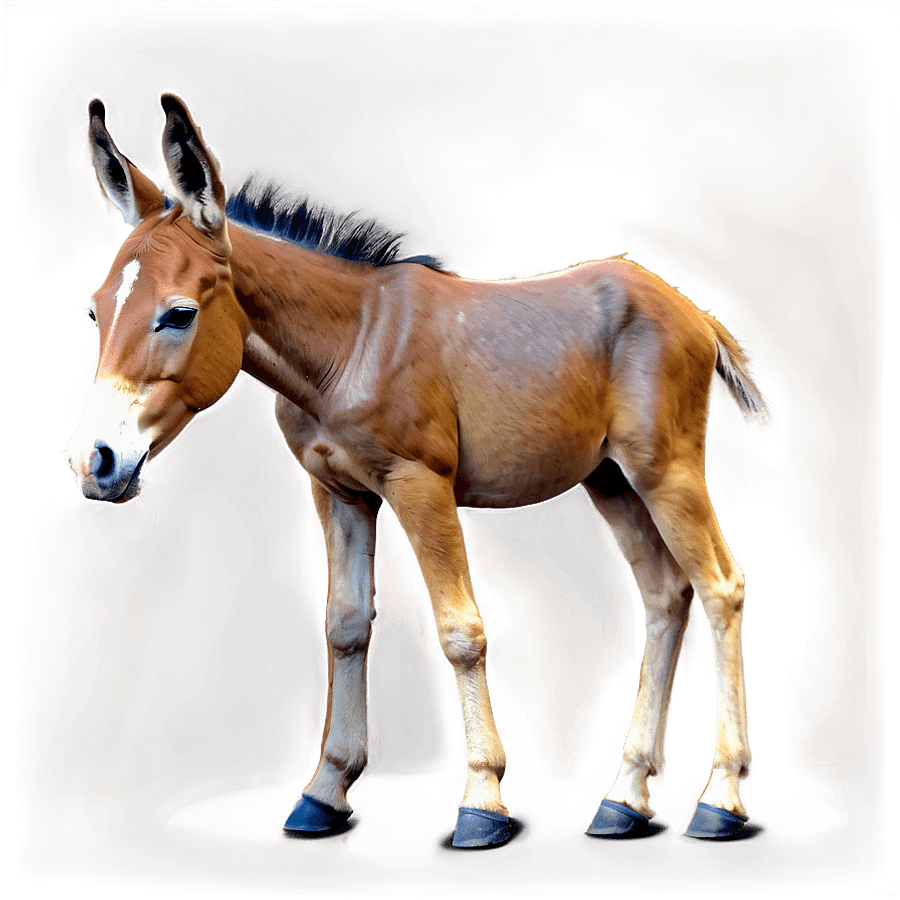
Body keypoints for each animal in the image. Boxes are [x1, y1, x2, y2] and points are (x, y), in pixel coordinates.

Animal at [63, 91, 776, 849]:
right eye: (96, 310)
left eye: (177, 313)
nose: (92, 461)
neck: (351, 341)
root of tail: (695, 311)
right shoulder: (340, 492)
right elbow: (347, 627)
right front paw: (324, 794)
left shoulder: (420, 485)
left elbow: (461, 632)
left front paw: (482, 803)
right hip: (611, 481)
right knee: (667, 594)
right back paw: (625, 799)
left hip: (666, 473)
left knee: (721, 585)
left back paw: (720, 800)